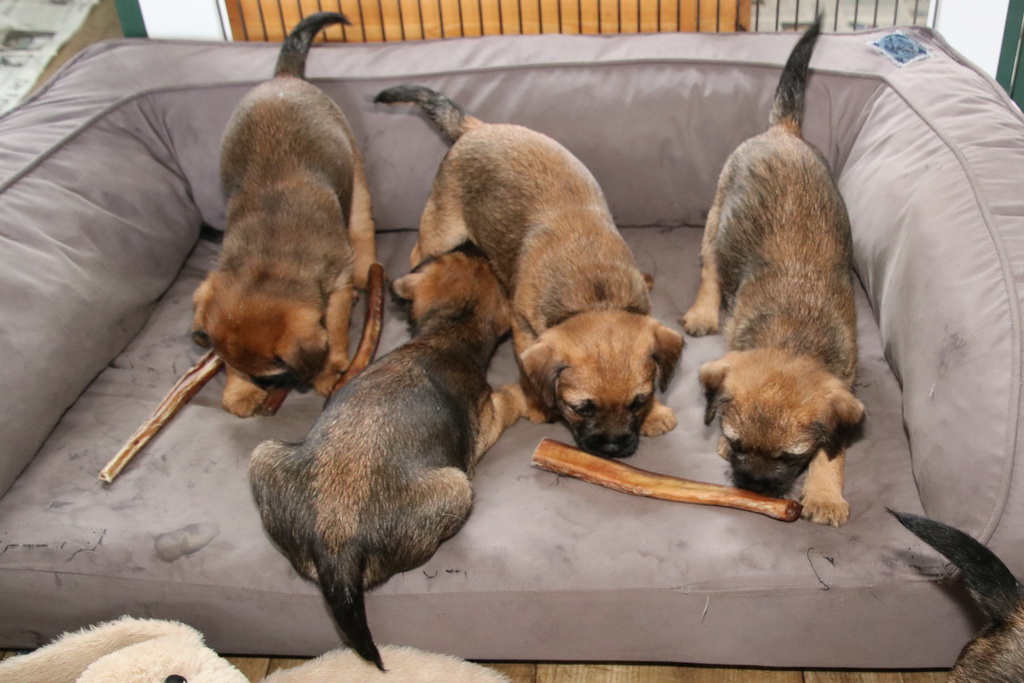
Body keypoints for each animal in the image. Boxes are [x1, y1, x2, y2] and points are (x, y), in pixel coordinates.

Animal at [191, 12, 376, 417]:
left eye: (275, 374)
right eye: (229, 364)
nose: (263, 386)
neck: (269, 264)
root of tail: (284, 77)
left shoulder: (336, 284)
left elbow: (335, 327)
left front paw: (328, 370)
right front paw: (239, 392)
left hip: (356, 178)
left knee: (361, 229)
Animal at [249, 243, 525, 670]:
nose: (472, 243)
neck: (447, 332)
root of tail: (336, 544)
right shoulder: (487, 416)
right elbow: (508, 399)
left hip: (263, 453)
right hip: (457, 486)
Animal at [375, 85, 683, 459]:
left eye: (639, 401)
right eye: (581, 408)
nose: (612, 449)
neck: (597, 296)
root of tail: (479, 127)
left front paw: (656, 414)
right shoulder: (522, 326)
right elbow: (527, 371)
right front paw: (538, 405)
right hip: (442, 227)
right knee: (421, 253)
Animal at [680, 18, 864, 526]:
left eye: (791, 458)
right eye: (738, 443)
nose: (755, 486)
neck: (791, 336)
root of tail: (783, 129)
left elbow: (835, 449)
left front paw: (825, 492)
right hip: (717, 217)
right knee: (710, 268)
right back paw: (704, 311)